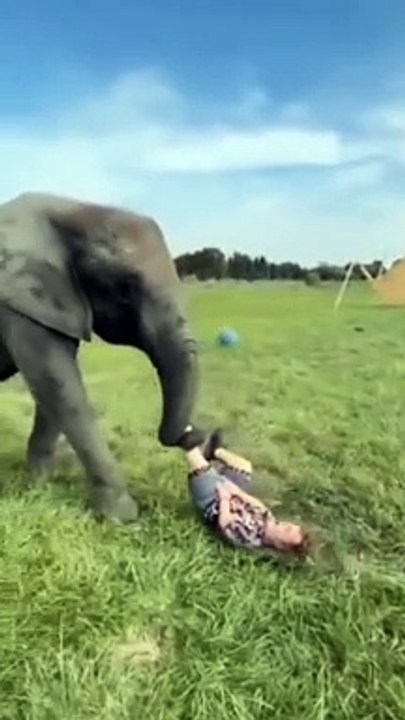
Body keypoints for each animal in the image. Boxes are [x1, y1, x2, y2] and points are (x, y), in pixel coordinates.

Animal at [0, 192, 204, 523]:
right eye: (124, 290)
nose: (194, 434)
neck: (72, 209)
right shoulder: (19, 299)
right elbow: (58, 384)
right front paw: (121, 518)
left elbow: (53, 387)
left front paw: (39, 484)